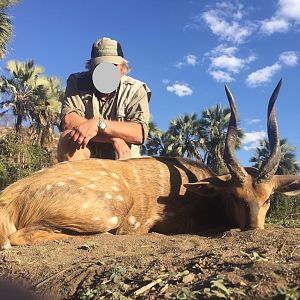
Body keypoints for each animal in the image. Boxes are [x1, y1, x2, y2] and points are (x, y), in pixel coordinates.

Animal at [0, 80, 298, 248]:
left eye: (268, 199)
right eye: (236, 196)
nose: (253, 229)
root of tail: (9, 199)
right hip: (109, 213)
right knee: (17, 239)